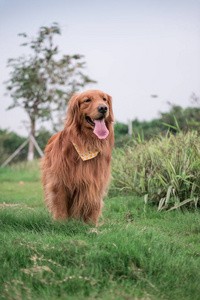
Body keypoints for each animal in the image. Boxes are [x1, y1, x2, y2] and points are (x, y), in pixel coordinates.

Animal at [41, 89, 114, 225]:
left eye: (104, 99)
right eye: (87, 100)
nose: (103, 108)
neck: (87, 143)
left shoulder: (95, 181)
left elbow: (93, 206)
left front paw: (91, 226)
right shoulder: (59, 181)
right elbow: (60, 205)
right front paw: (61, 224)